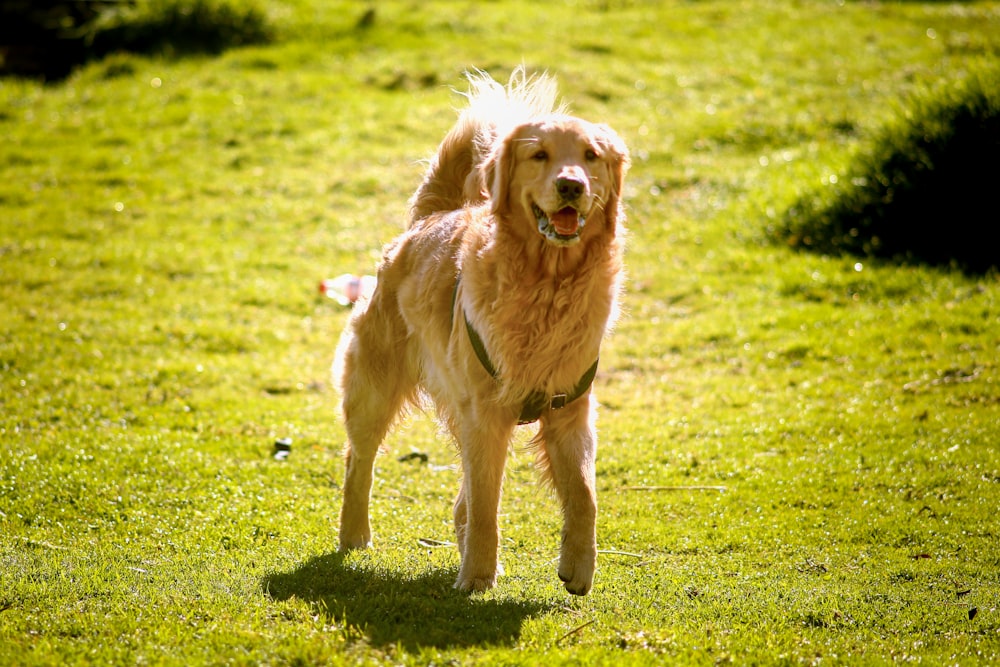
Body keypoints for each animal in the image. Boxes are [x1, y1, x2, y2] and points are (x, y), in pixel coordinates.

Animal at [336, 68, 628, 596]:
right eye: (540, 155)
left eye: (590, 156)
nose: (571, 186)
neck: (547, 284)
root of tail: (429, 218)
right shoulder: (486, 415)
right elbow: (487, 502)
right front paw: (476, 575)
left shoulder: (570, 409)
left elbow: (584, 493)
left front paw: (579, 565)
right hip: (374, 388)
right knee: (359, 461)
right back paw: (355, 536)